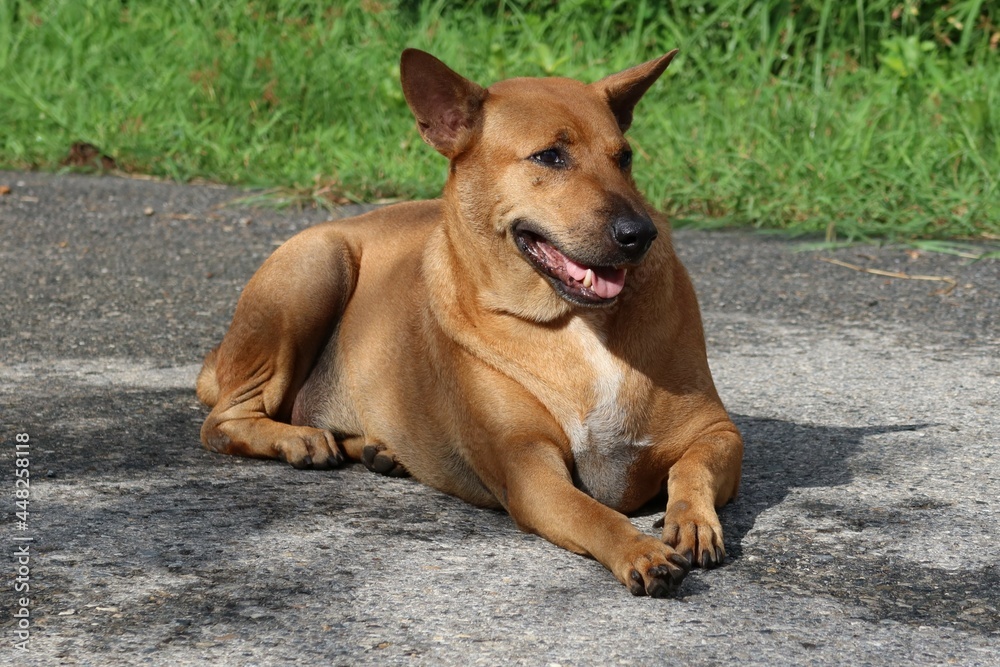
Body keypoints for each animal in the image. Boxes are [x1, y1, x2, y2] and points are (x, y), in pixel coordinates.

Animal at [197, 48, 744, 600]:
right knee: (221, 423)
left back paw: (379, 450)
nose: (640, 234)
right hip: (315, 267)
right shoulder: (530, 470)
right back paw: (299, 440)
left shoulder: (717, 432)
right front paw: (638, 549)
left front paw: (693, 520)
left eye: (625, 157)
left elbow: (691, 469)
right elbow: (594, 514)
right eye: (550, 157)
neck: (574, 321)